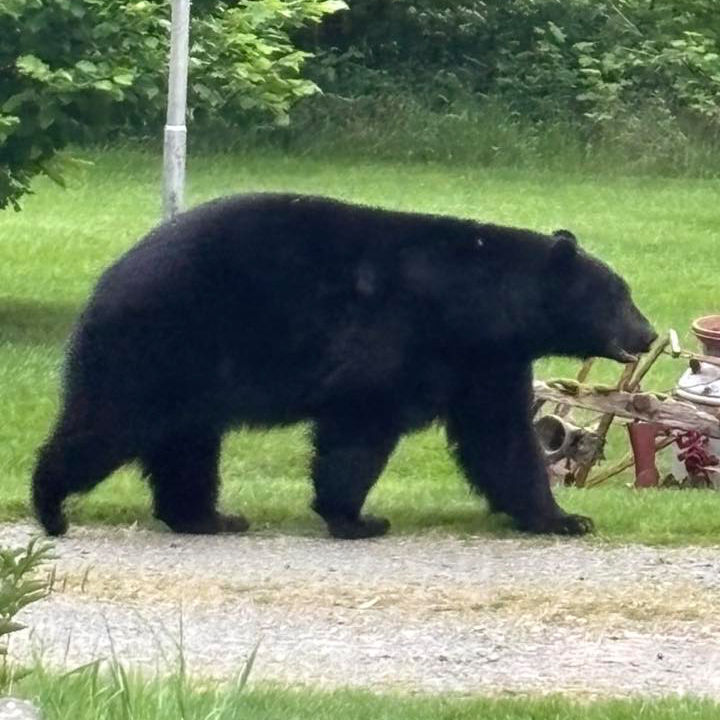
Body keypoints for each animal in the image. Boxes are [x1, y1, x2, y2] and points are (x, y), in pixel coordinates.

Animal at [32, 193, 656, 538]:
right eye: (620, 296)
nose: (648, 333)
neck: (475, 303)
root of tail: (109, 278)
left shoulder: (486, 360)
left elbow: (500, 440)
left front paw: (563, 518)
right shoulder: (394, 345)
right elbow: (358, 431)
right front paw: (355, 520)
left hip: (191, 371)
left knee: (186, 445)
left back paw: (206, 518)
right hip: (159, 345)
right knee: (109, 423)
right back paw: (51, 506)